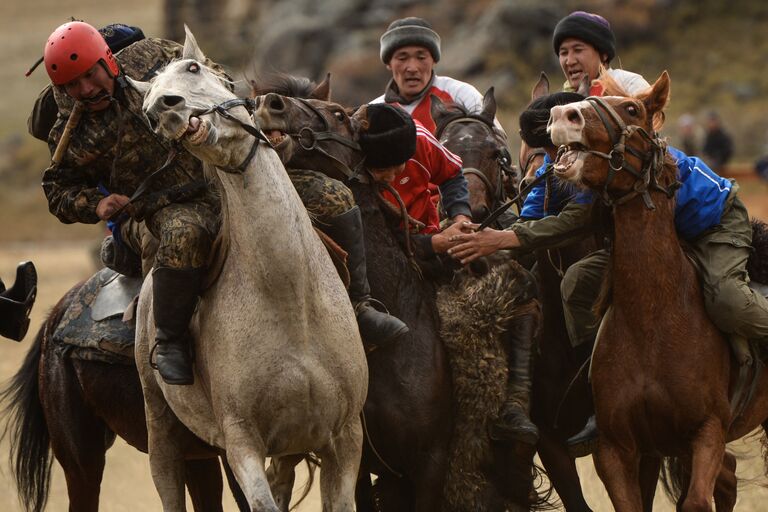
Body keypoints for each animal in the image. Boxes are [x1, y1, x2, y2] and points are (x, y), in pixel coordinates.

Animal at [133, 29, 368, 512]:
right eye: (145, 110)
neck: (292, 300)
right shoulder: (242, 443)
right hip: (162, 428)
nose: (165, 110)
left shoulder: (345, 439)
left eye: (192, 69)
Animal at [548, 70, 764, 510]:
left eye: (632, 108)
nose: (563, 115)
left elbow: (695, 501)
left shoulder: (707, 431)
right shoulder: (618, 448)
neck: (654, 319)